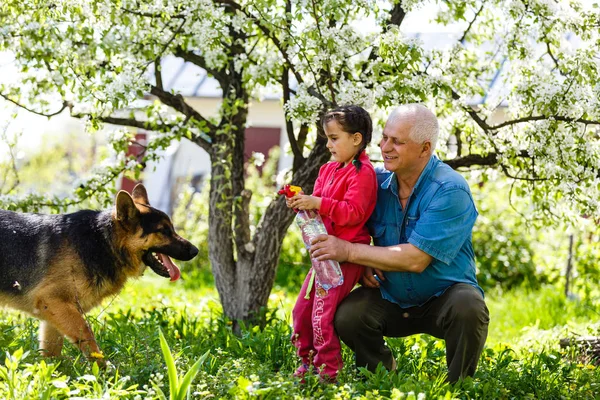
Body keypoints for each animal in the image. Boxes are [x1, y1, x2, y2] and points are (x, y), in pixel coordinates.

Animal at [0, 184, 198, 362]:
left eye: (172, 228)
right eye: (163, 230)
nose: (195, 251)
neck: (104, 242)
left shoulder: (53, 313)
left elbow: (51, 354)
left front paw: (52, 373)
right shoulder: (53, 302)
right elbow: (87, 335)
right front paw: (103, 372)